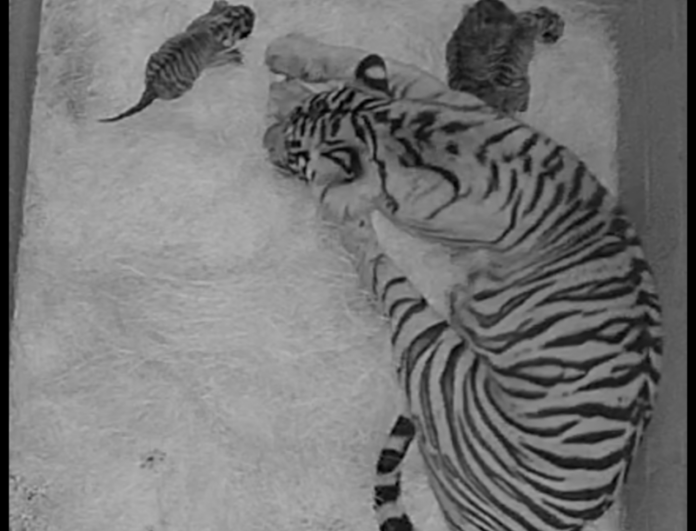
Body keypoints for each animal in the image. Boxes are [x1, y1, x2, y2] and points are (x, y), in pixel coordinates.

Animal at [99, 1, 255, 123]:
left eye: (240, 8)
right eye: (247, 25)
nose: (252, 11)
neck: (217, 27)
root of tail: (152, 86)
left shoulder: (201, 20)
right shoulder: (213, 56)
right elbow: (222, 57)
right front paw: (236, 55)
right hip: (184, 87)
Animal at [262, 33, 662, 531]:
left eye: (294, 154)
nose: (265, 142)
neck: (402, 131)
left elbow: (351, 197)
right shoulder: (432, 94)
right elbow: (373, 61)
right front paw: (288, 60)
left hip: (434, 351)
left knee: (380, 270)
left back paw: (358, 230)